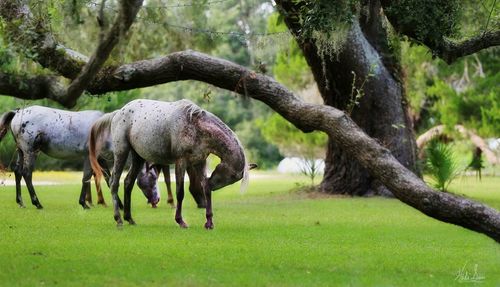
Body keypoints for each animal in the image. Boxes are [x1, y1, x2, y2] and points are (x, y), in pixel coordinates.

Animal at [89, 100, 254, 231]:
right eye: (232, 176)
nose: (213, 185)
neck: (195, 126)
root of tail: (118, 112)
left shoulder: (199, 162)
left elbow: (205, 189)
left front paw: (209, 222)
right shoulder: (181, 162)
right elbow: (180, 192)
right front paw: (180, 221)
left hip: (138, 157)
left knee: (128, 182)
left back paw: (129, 218)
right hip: (121, 152)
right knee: (114, 183)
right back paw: (118, 219)